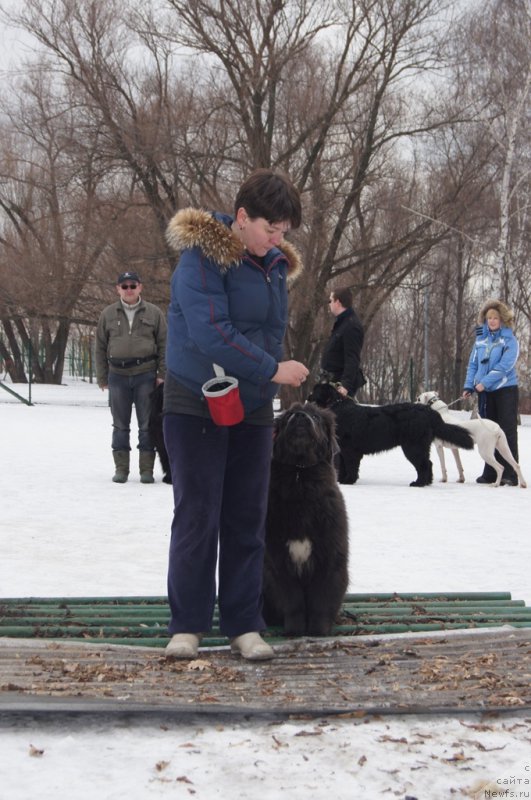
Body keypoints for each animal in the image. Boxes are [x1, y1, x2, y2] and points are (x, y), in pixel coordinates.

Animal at [262, 404, 350, 640]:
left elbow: (322, 599)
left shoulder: (329, 556)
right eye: (289, 416)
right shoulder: (278, 560)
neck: (300, 475)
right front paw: (294, 630)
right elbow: (292, 600)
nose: (301, 417)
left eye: (316, 417)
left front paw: (318, 631)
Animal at [308, 382, 474, 488]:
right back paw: (426, 482)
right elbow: (342, 466)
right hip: (420, 446)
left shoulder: (350, 450)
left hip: (413, 446)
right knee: (429, 463)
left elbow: (351, 466)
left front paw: (349, 480)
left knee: (423, 464)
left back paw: (418, 483)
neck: (336, 405)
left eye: (315, 390)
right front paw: (342, 480)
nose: (308, 397)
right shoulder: (342, 449)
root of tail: (429, 411)